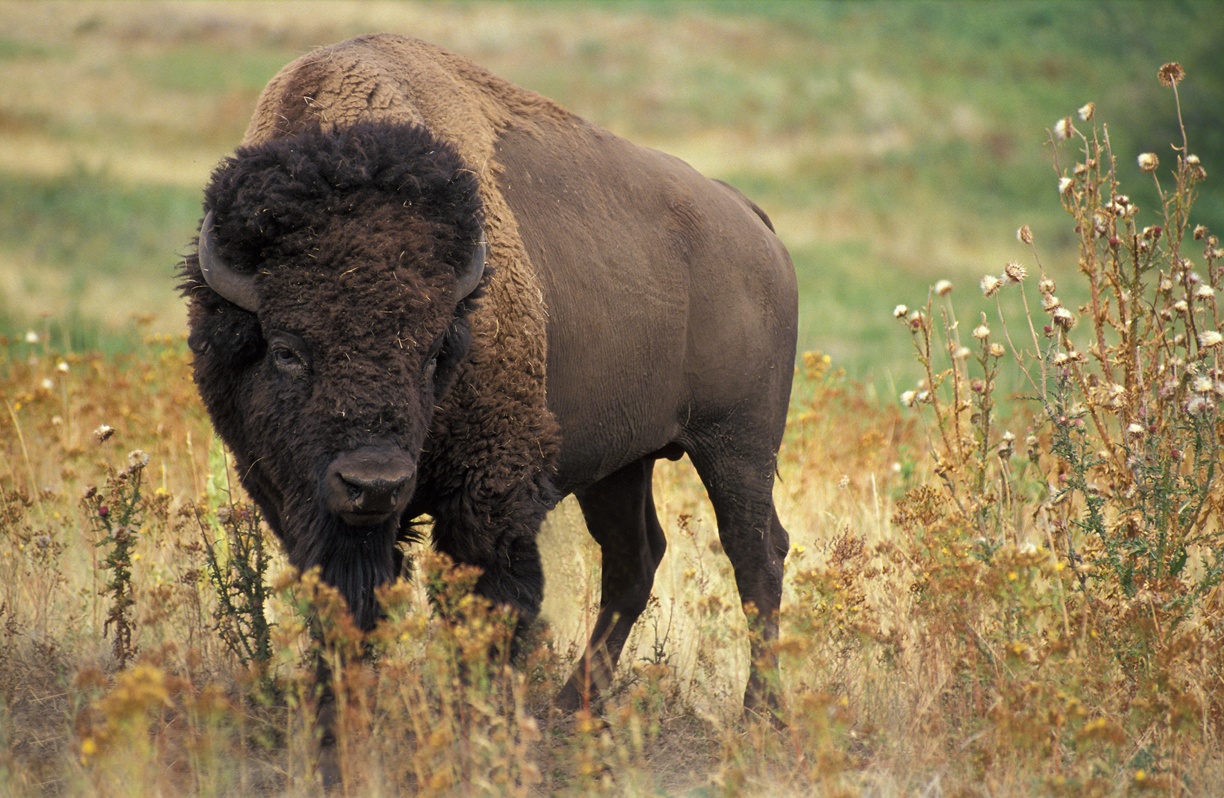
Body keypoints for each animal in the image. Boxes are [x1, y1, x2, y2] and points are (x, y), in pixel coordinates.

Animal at [178, 32, 793, 714]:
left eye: (432, 352)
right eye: (286, 349)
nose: (374, 483)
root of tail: (750, 219)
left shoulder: (490, 488)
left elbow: (491, 603)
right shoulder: (294, 497)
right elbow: (345, 603)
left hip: (738, 444)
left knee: (755, 553)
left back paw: (758, 711)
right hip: (622, 461)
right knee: (635, 558)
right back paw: (573, 706)